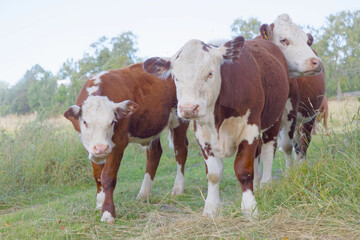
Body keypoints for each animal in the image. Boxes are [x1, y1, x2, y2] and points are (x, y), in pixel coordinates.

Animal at [63, 63, 190, 223]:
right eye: (85, 122)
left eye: (113, 121)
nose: (101, 147)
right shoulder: (89, 146)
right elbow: (97, 175)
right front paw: (99, 202)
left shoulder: (118, 143)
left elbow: (108, 176)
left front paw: (108, 212)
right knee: (154, 154)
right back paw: (144, 193)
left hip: (180, 118)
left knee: (180, 150)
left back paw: (178, 188)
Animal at [143, 36, 290, 218]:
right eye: (175, 77)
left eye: (210, 73)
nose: (188, 108)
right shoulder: (202, 135)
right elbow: (213, 173)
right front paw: (211, 208)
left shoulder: (250, 129)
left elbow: (243, 169)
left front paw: (249, 207)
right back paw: (256, 185)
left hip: (275, 117)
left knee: (268, 150)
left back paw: (266, 184)